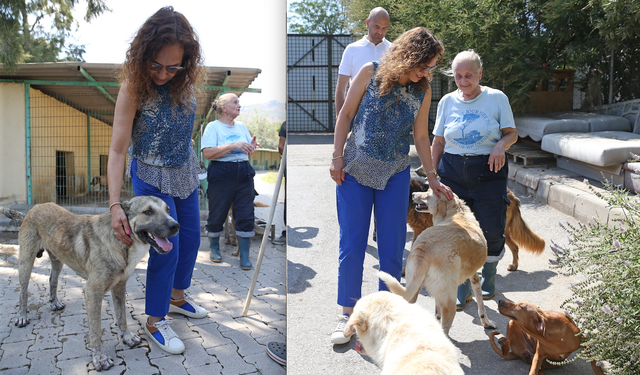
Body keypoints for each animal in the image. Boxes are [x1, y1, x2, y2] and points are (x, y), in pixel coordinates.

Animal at [15, 198, 180, 372]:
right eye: (148, 211)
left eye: (168, 210)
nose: (176, 226)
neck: (119, 241)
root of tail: (34, 208)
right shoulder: (93, 292)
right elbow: (96, 331)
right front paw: (99, 358)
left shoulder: (120, 287)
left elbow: (122, 317)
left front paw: (127, 337)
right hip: (26, 261)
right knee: (23, 291)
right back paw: (22, 315)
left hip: (57, 258)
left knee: (52, 280)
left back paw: (54, 302)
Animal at [382, 189, 498, 336]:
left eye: (427, 193)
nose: (413, 194)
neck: (456, 212)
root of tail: (425, 247)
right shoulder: (473, 278)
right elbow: (481, 304)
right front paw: (487, 323)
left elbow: (438, 311)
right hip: (449, 300)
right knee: (446, 324)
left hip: (413, 289)